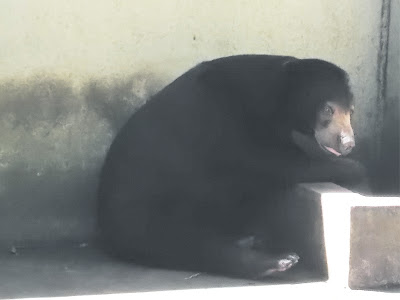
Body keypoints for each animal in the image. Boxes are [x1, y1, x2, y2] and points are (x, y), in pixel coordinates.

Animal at [97, 55, 368, 280]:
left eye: (351, 111)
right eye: (328, 109)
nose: (347, 143)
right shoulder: (221, 119)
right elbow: (269, 161)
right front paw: (354, 167)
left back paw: (250, 240)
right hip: (147, 210)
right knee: (186, 243)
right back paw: (277, 261)